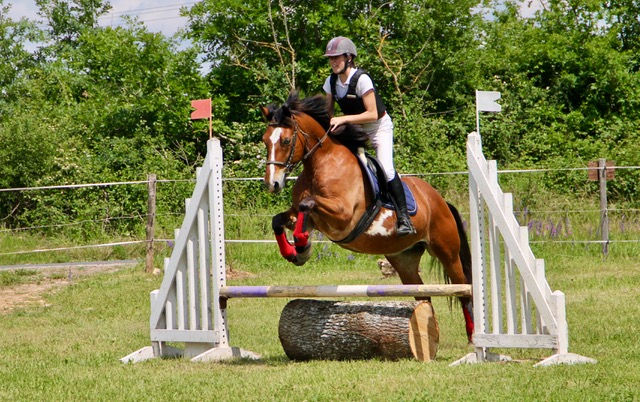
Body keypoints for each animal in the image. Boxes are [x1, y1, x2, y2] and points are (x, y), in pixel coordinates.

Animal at [260, 92, 476, 342]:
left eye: (286, 141)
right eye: (265, 141)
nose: (272, 184)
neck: (322, 162)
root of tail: (439, 200)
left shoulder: (342, 216)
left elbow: (308, 204)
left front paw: (303, 247)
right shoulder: (306, 216)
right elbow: (281, 219)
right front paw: (295, 251)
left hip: (447, 251)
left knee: (464, 290)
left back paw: (473, 337)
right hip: (404, 259)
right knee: (423, 295)